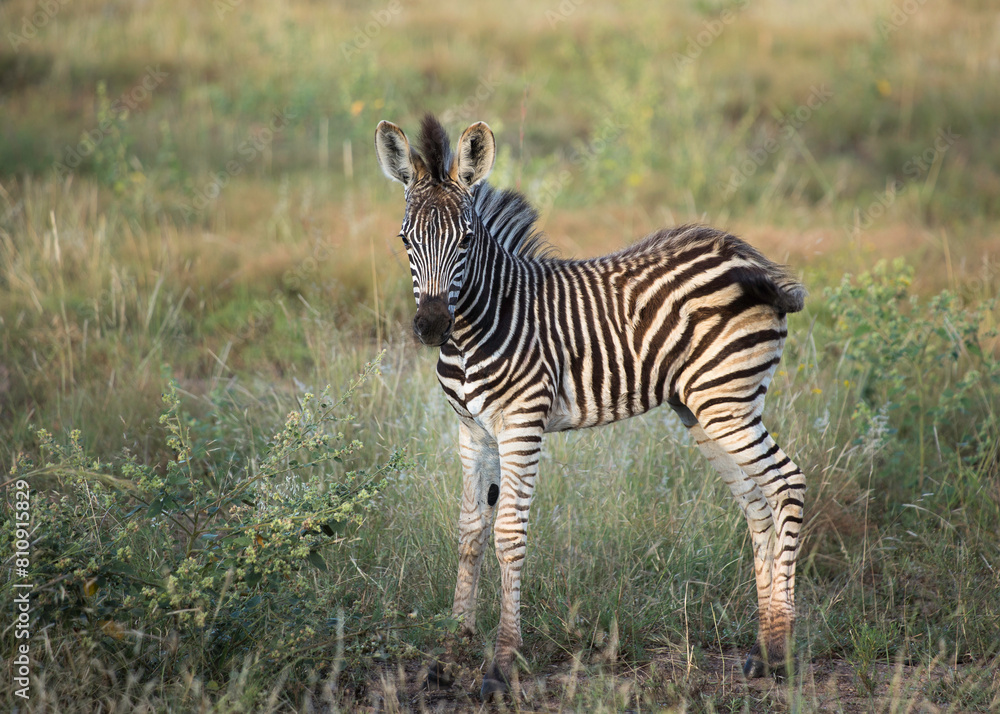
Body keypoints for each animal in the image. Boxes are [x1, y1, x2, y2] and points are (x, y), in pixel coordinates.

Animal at [375, 115, 807, 697]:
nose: (430, 326)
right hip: (704, 412)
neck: (475, 329)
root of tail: (749, 256)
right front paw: (451, 651)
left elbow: (508, 534)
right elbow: (469, 532)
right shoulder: (471, 431)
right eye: (405, 240)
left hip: (728, 402)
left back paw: (781, 652)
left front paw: (501, 665)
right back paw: (762, 648)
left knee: (786, 483)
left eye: (465, 239)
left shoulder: (521, 425)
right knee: (757, 504)